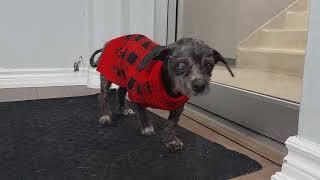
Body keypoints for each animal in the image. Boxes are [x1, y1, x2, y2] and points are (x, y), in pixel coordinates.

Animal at [89, 34, 234, 152]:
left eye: (209, 65)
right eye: (181, 66)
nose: (199, 85)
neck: (169, 87)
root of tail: (108, 43)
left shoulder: (178, 107)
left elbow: (171, 123)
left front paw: (171, 140)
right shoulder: (137, 94)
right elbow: (142, 113)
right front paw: (147, 128)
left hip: (124, 78)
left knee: (120, 91)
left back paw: (123, 109)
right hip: (108, 76)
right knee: (102, 96)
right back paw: (105, 115)